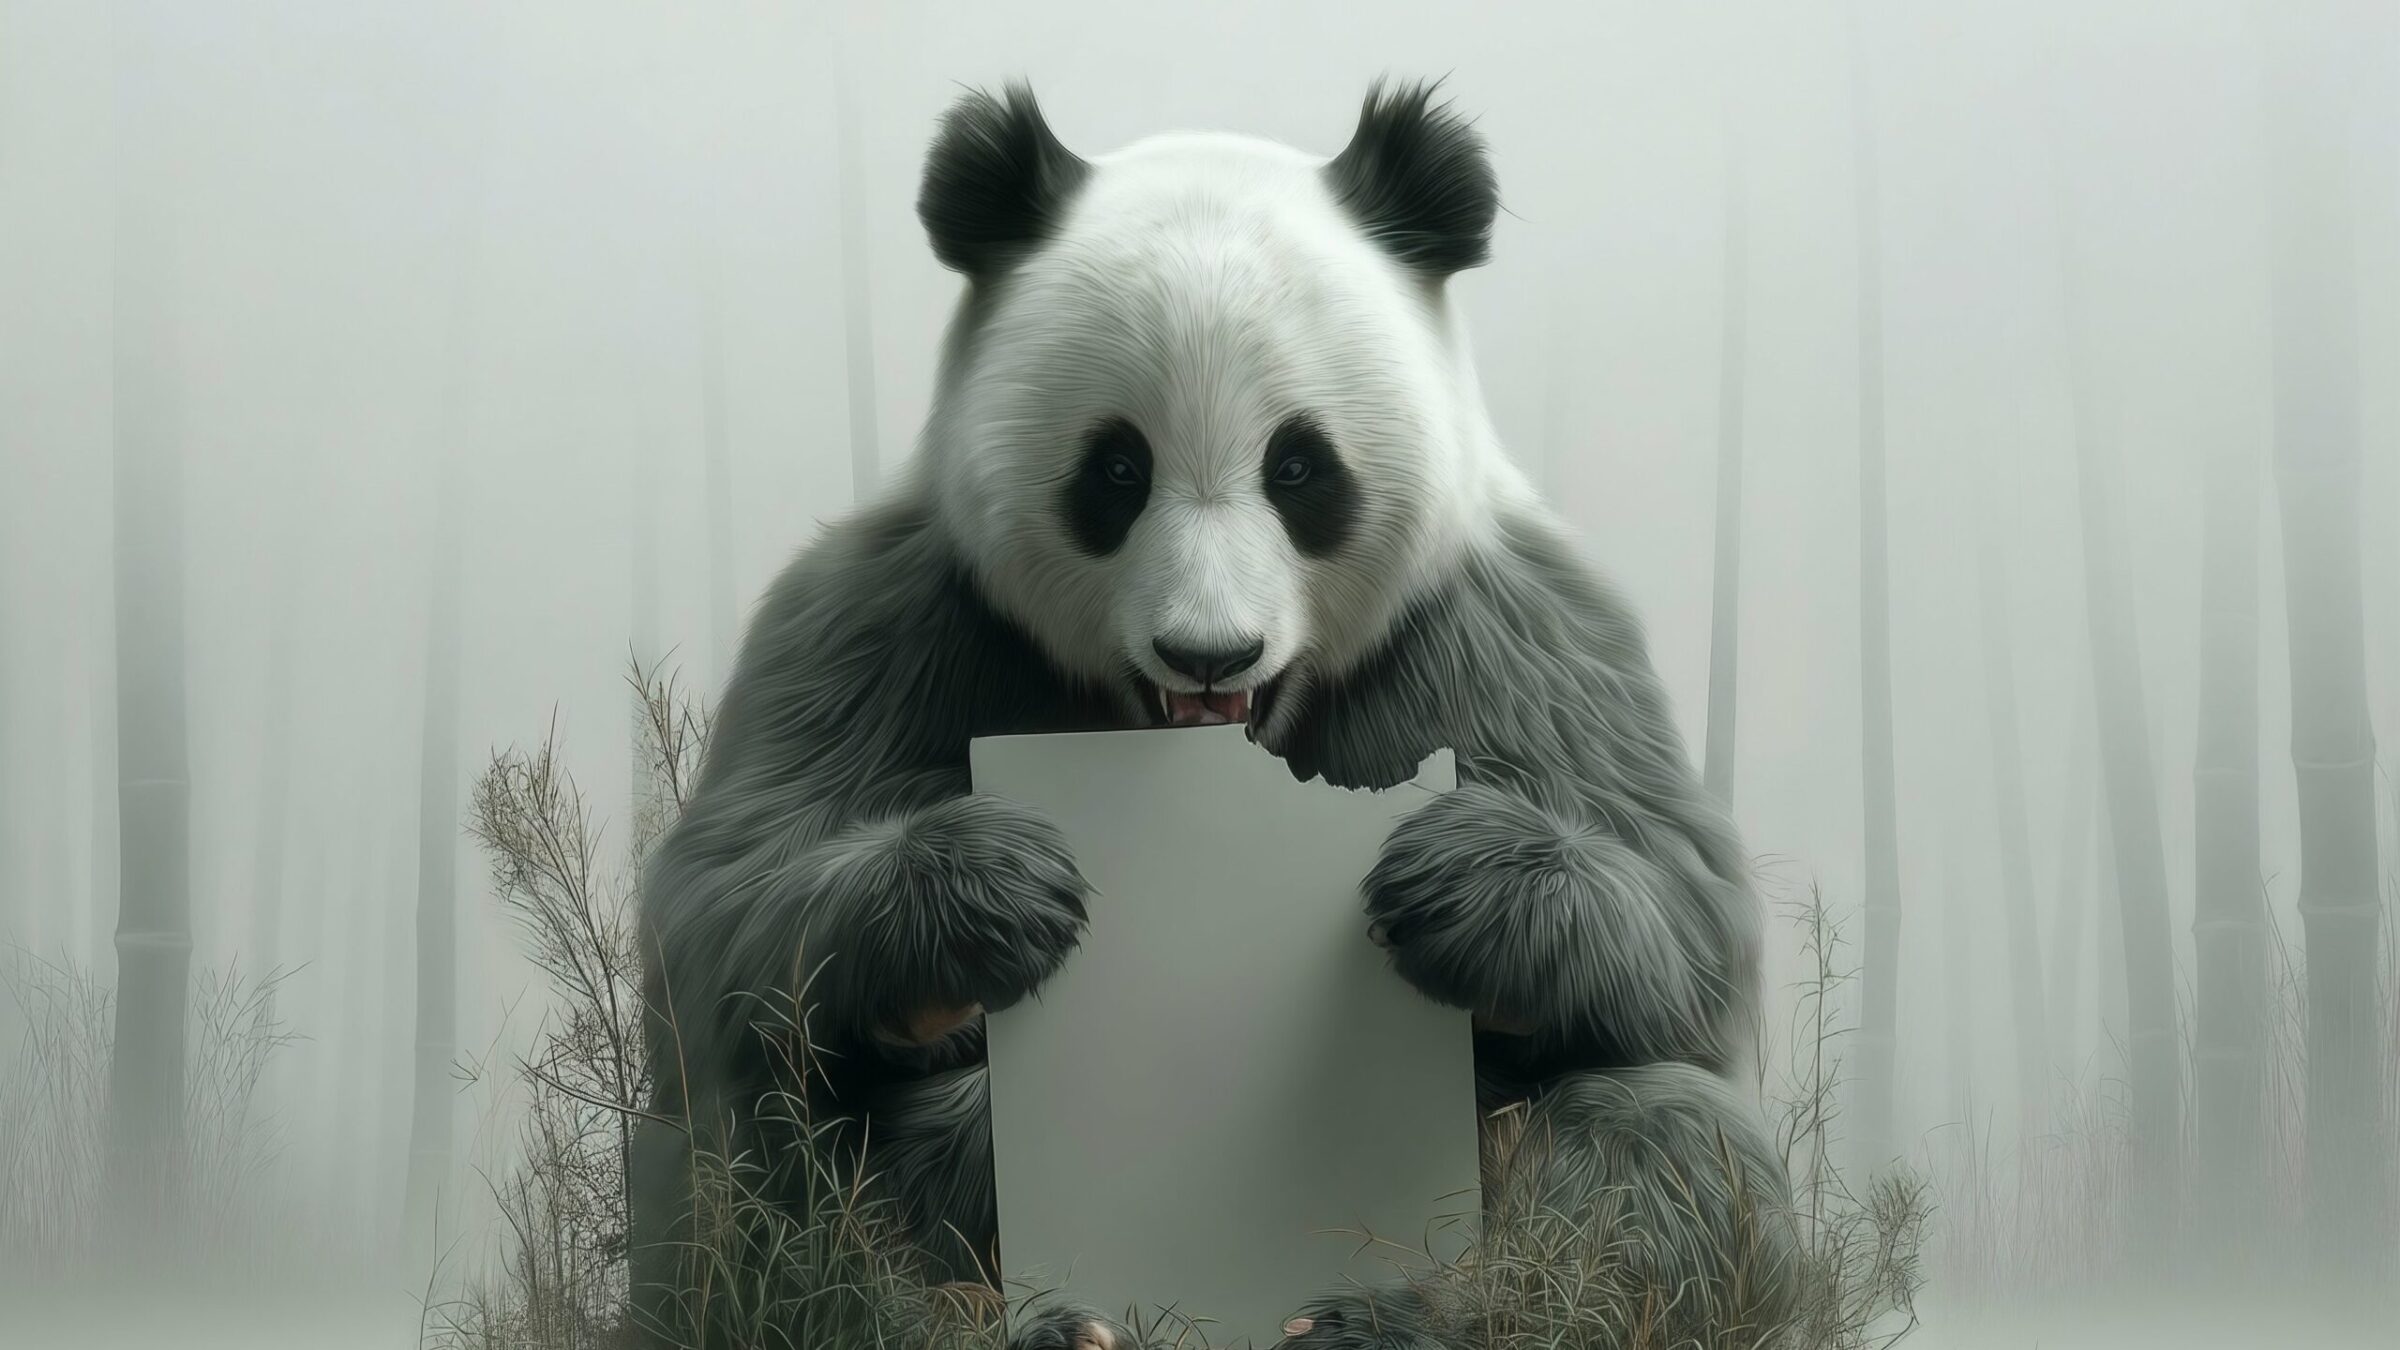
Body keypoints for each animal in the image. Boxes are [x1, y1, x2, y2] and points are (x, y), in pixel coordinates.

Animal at [631, 80, 1795, 1350]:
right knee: (761, 1186)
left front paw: (1455, 883)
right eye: (1114, 471)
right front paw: (993, 897)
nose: (1208, 652)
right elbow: (721, 920)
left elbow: (1684, 922)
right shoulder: (888, 620)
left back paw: (1389, 1319)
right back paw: (1018, 1323)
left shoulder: (1513, 631)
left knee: (1658, 1150)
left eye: (1299, 468)